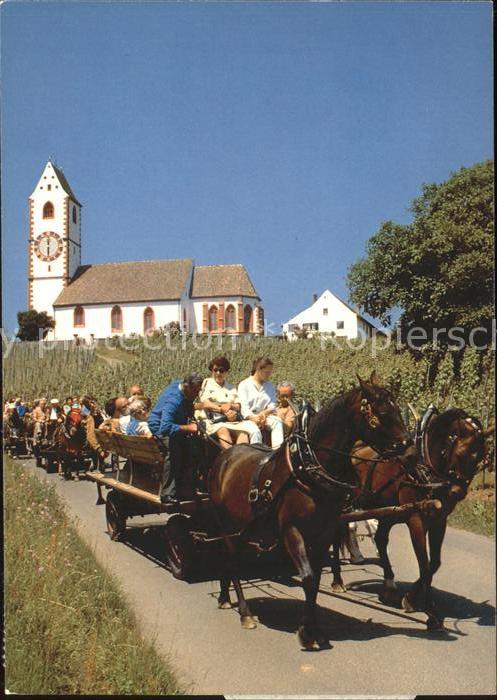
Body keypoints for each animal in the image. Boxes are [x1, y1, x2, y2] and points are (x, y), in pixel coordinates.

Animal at [207, 372, 412, 652]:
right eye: (380, 413)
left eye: (396, 407)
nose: (408, 444)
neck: (309, 467)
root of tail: (225, 455)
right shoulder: (292, 531)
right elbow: (307, 577)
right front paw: (306, 632)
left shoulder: (324, 532)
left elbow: (314, 581)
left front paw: (316, 630)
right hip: (226, 526)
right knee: (232, 561)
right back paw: (245, 612)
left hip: (241, 527)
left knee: (227, 560)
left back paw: (224, 597)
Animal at [330, 404, 492, 628]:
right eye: (460, 452)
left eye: (481, 457)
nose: (458, 492)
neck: (425, 467)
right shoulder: (416, 519)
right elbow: (424, 565)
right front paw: (431, 612)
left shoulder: (439, 520)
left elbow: (434, 563)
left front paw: (411, 599)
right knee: (336, 537)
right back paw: (337, 581)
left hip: (387, 512)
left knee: (380, 540)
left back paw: (389, 586)